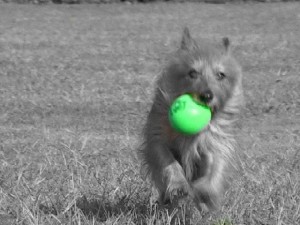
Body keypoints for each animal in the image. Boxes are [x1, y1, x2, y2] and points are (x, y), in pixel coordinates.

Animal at [139, 27, 243, 211]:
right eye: (193, 73)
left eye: (221, 75)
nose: (207, 95)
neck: (192, 136)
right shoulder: (157, 139)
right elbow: (168, 162)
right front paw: (179, 185)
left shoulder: (214, 144)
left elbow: (215, 169)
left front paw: (205, 191)